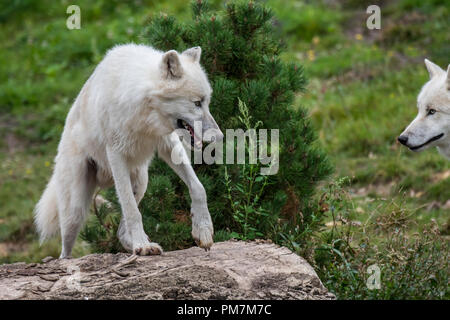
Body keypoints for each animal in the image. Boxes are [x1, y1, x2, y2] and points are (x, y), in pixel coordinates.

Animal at [34, 43, 223, 258]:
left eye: (207, 102)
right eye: (197, 103)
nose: (220, 136)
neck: (145, 113)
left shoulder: (168, 144)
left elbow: (198, 187)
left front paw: (203, 230)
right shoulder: (116, 154)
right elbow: (132, 210)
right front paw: (142, 245)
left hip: (141, 181)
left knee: (120, 231)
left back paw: (138, 244)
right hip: (75, 208)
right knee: (65, 249)